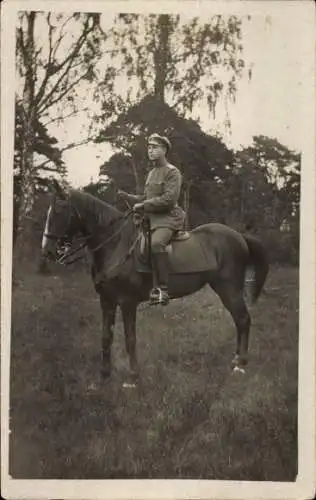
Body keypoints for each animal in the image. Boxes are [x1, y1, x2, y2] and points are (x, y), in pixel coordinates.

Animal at [42, 182, 270, 384]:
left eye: (59, 211)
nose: (48, 251)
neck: (115, 245)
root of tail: (239, 236)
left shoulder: (127, 302)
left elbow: (130, 338)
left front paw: (133, 377)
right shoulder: (106, 301)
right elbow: (106, 337)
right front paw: (104, 376)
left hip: (229, 289)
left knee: (243, 319)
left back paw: (240, 365)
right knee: (239, 320)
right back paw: (236, 360)